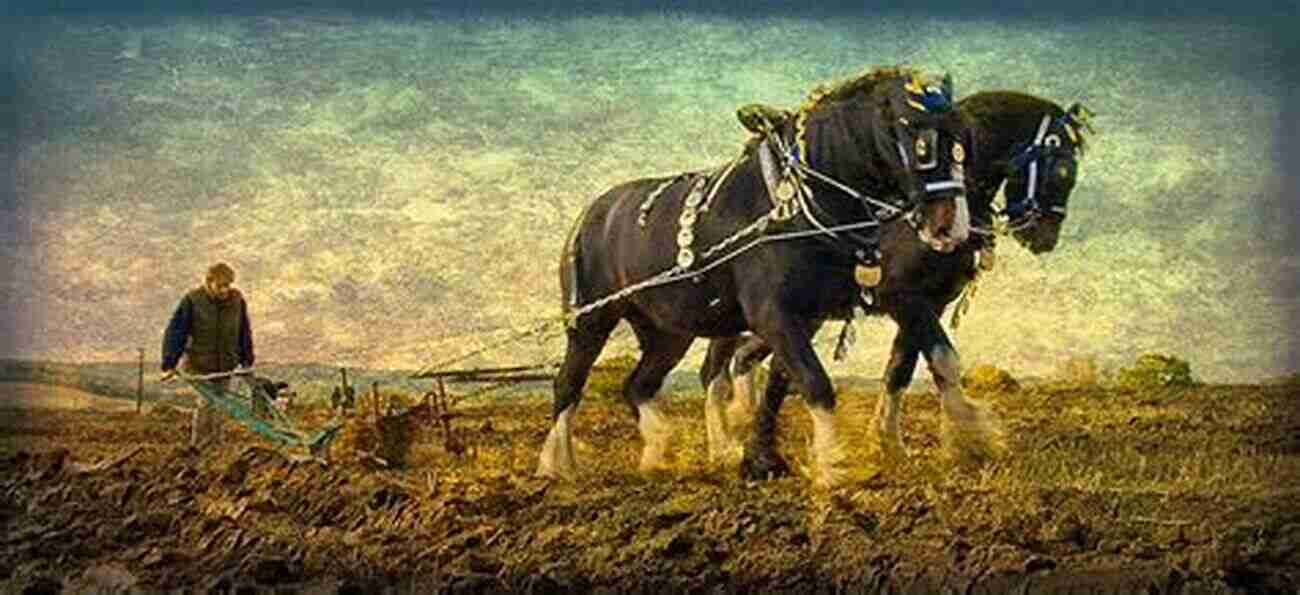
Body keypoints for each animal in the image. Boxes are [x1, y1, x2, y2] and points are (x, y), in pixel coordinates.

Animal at [538, 67, 977, 485]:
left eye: (961, 141)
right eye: (917, 137)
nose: (949, 226)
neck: (797, 205)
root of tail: (591, 213)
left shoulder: (830, 309)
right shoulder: (773, 314)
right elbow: (815, 383)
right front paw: (832, 467)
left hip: (668, 333)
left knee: (639, 386)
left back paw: (659, 454)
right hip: (591, 320)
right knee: (568, 385)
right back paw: (556, 464)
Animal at [702, 91, 1097, 472]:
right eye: (1062, 171)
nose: (1045, 238)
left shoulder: (929, 303)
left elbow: (900, 370)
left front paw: (889, 443)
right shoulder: (904, 298)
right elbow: (944, 360)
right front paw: (970, 439)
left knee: (749, 361)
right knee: (716, 372)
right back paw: (724, 444)